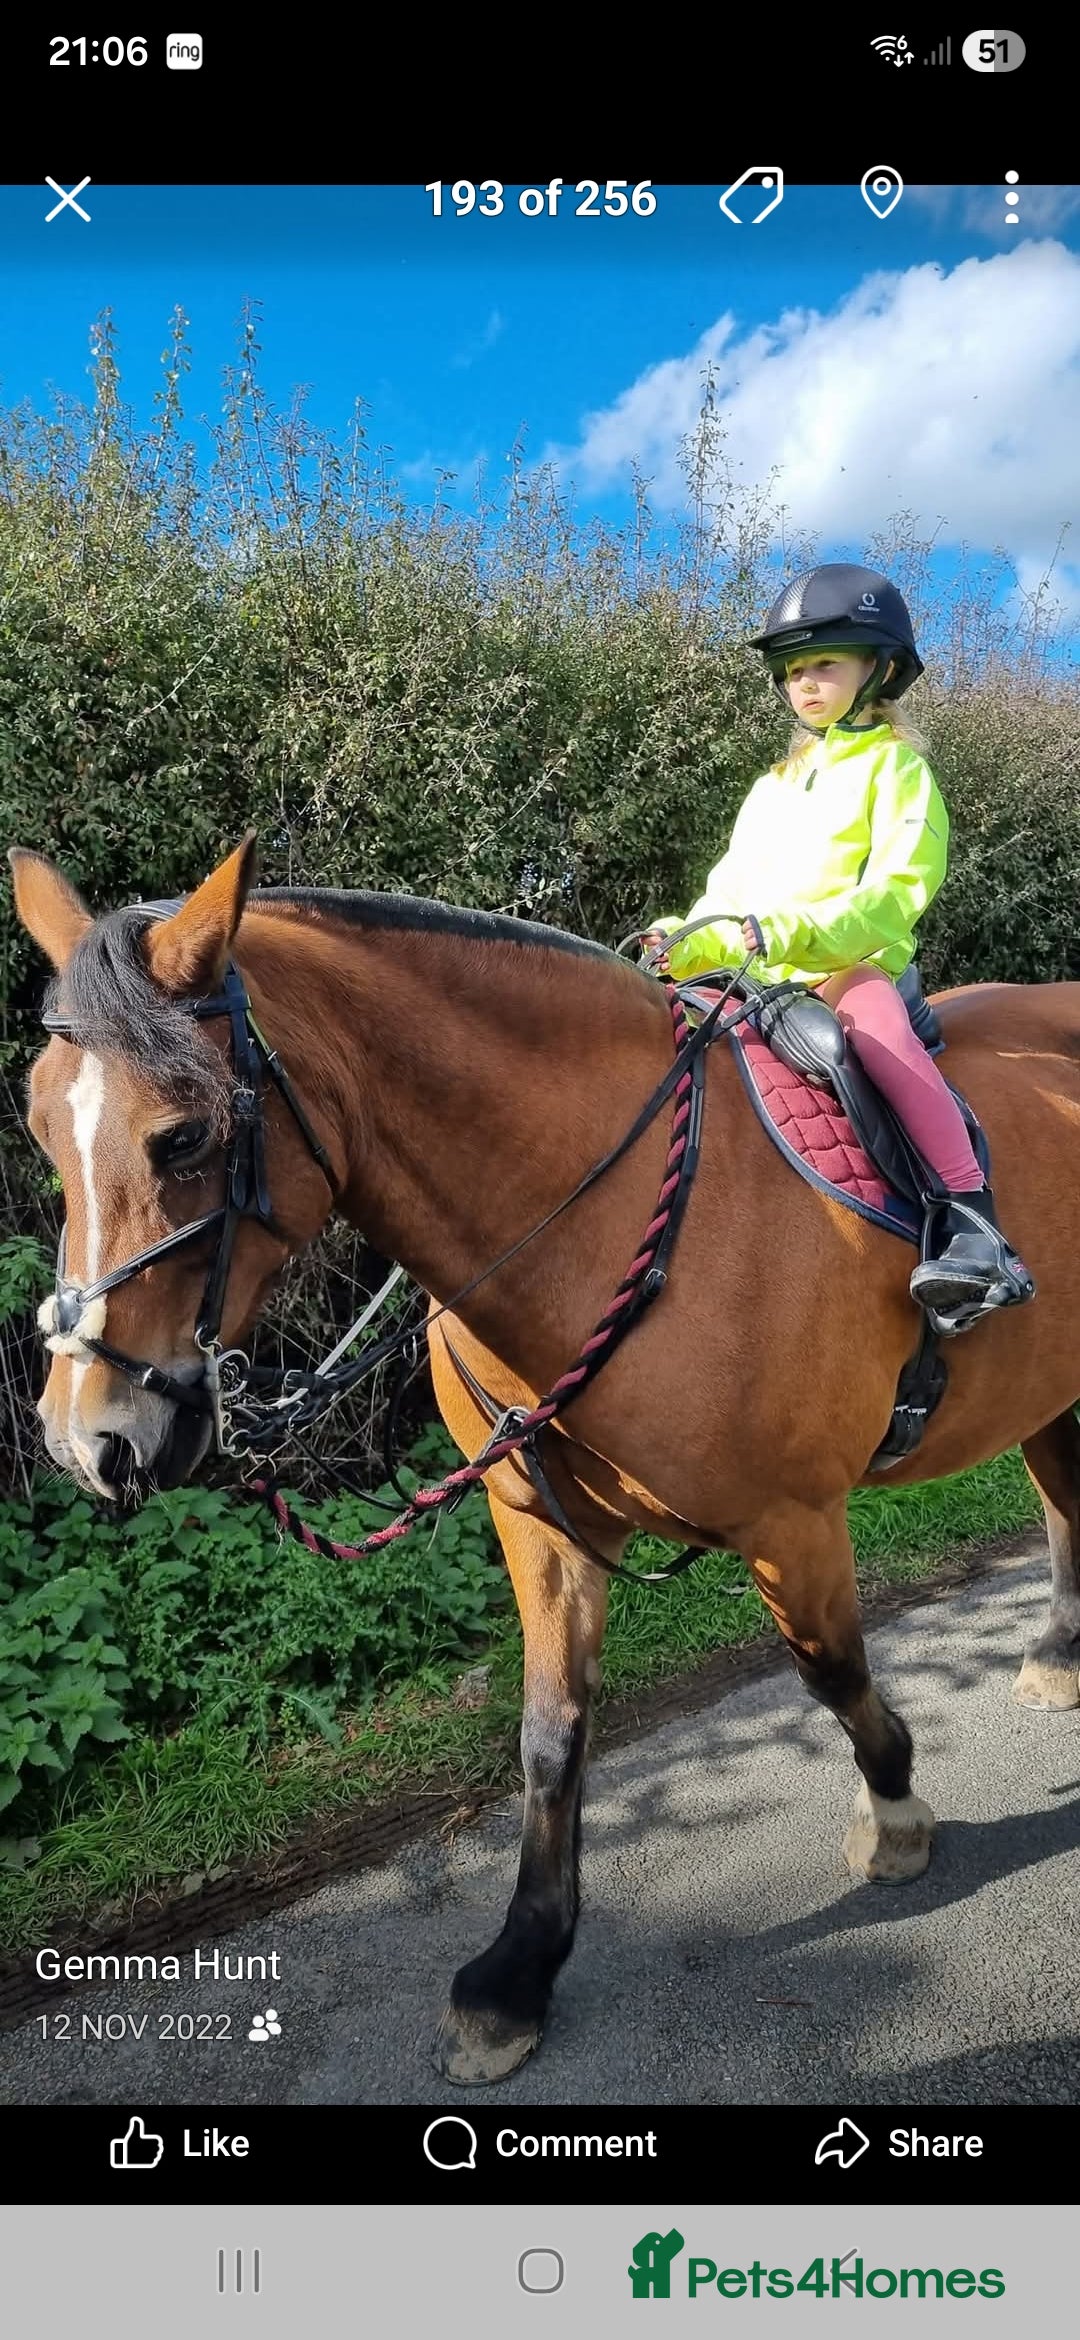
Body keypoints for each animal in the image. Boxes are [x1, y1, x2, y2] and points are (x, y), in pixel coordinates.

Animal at [10, 833, 1080, 2086]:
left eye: (181, 1135)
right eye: (40, 1124)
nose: (91, 1438)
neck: (599, 1217)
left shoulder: (793, 1521)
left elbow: (831, 1669)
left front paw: (897, 1815)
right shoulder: (537, 1518)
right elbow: (548, 1732)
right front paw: (517, 1973)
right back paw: (1057, 1653)